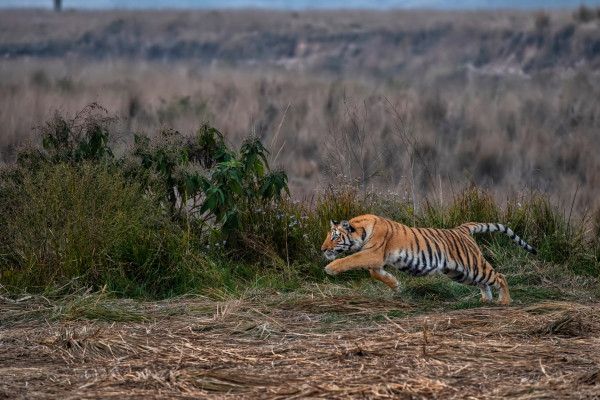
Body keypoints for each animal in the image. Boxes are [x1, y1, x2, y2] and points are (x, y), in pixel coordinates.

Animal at [322, 214, 536, 304]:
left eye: (334, 237)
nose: (323, 249)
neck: (361, 229)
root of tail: (461, 229)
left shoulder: (373, 254)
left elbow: (349, 260)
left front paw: (330, 268)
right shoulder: (376, 259)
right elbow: (376, 274)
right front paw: (395, 285)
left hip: (473, 266)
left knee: (499, 276)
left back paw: (505, 301)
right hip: (459, 273)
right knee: (484, 282)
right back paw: (486, 299)